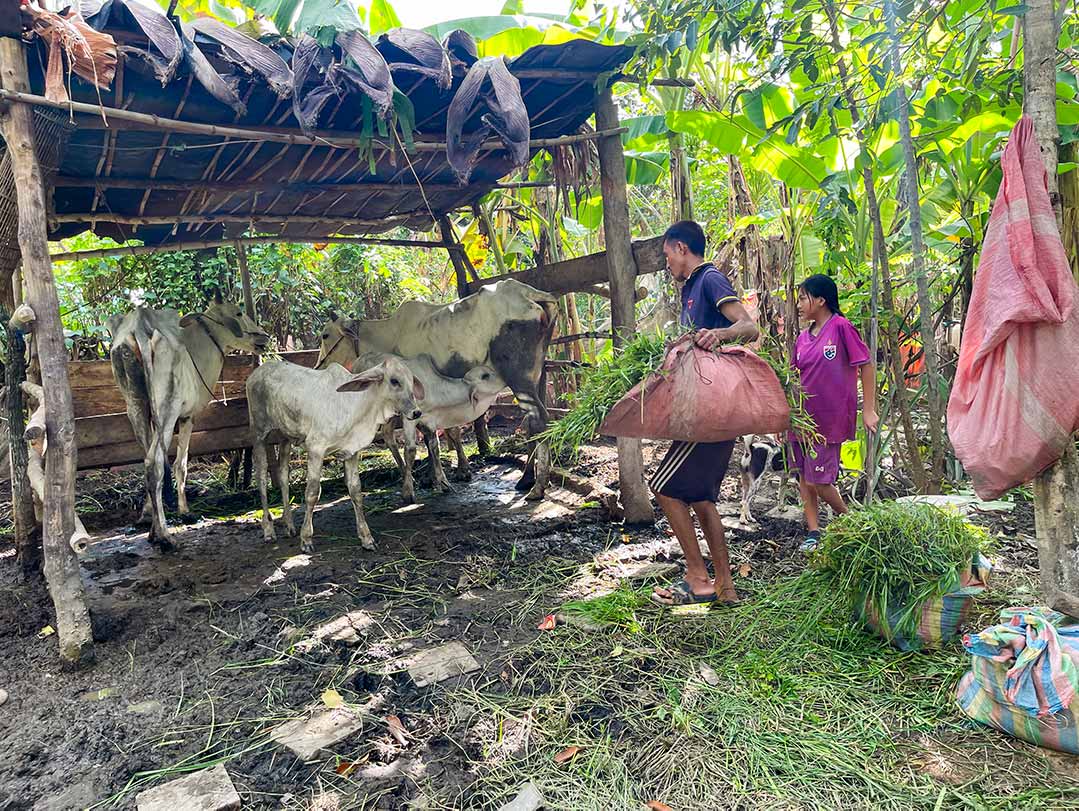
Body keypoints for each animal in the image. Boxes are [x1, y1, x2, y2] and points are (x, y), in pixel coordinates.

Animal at [107, 295, 269, 547]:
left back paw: (154, 529)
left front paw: (148, 516)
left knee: (148, 459)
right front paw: (184, 511)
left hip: (135, 406)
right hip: (168, 407)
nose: (264, 336)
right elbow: (180, 464)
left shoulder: (152, 415)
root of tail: (140, 328)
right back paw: (164, 537)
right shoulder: (187, 417)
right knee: (153, 462)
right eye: (238, 312)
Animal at [248, 358, 425, 556]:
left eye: (411, 380)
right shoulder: (315, 450)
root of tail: (260, 369)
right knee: (262, 477)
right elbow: (312, 493)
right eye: (394, 381)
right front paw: (306, 539)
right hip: (259, 434)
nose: (416, 412)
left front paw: (367, 538)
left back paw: (289, 525)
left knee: (283, 475)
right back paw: (268, 530)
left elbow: (356, 492)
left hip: (285, 436)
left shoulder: (352, 452)